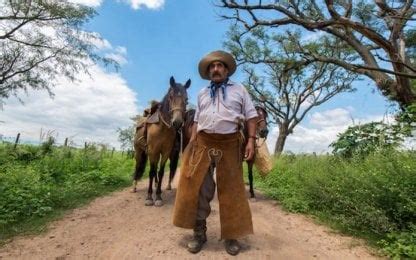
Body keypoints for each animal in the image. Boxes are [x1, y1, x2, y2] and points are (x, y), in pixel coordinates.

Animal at [133, 76, 190, 206]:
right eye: (171, 96)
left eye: (186, 99)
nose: (177, 122)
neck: (162, 128)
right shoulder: (152, 150)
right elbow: (151, 172)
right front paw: (149, 197)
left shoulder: (165, 152)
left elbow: (161, 172)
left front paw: (158, 196)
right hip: (139, 151)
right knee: (138, 166)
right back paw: (134, 187)